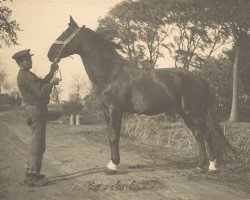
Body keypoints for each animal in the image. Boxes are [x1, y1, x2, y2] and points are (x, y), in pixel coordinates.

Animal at [48, 16, 232, 174]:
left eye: (65, 33)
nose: (49, 54)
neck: (111, 73)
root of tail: (197, 77)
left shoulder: (115, 110)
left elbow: (114, 136)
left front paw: (113, 166)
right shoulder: (106, 112)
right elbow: (110, 136)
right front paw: (111, 163)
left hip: (194, 114)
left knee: (207, 135)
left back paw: (213, 166)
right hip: (186, 114)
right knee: (199, 136)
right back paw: (201, 166)